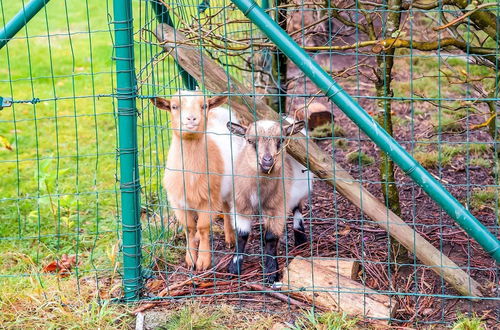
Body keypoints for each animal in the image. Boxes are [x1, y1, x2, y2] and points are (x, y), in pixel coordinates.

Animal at [152, 89, 244, 270]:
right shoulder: (178, 203)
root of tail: (219, 110)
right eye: (174, 106)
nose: (191, 119)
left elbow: (202, 227)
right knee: (225, 207)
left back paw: (230, 238)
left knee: (228, 209)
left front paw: (203, 261)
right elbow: (189, 228)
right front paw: (190, 259)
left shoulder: (208, 200)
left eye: (204, 106)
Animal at [228, 120, 312, 282]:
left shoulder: (277, 207)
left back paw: (300, 238)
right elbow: (241, 235)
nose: (267, 161)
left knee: (297, 209)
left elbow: (272, 237)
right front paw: (234, 267)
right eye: (250, 141)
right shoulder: (241, 205)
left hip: (300, 191)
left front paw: (271, 272)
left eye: (281, 140)